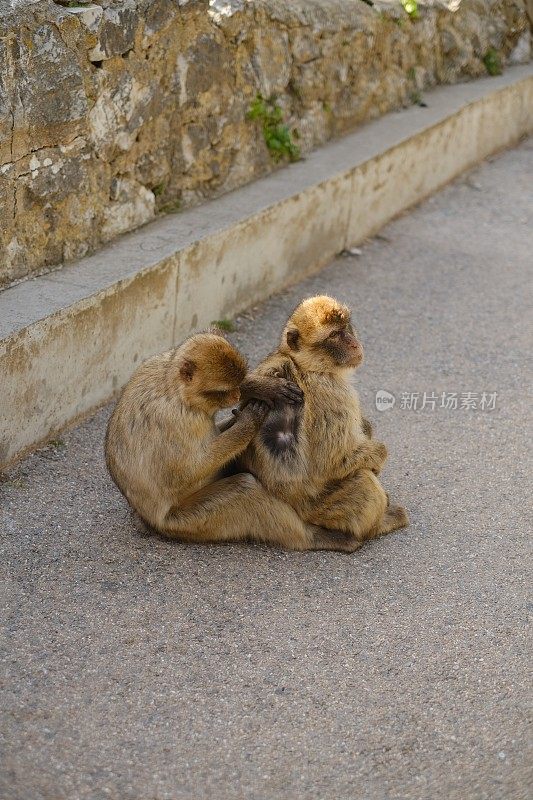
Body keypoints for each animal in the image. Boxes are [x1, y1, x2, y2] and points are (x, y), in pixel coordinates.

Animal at [103, 330, 354, 552]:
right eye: (222, 391)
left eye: (236, 384)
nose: (236, 395)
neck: (174, 389)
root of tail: (147, 520)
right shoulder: (176, 420)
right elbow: (184, 473)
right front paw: (248, 422)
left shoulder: (153, 364)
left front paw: (263, 387)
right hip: (185, 522)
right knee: (245, 490)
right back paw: (316, 537)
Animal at [237, 296, 408, 548]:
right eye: (334, 335)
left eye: (345, 327)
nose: (353, 343)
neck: (308, 366)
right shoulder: (333, 395)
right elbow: (333, 462)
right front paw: (378, 455)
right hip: (321, 509)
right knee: (364, 481)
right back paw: (375, 526)